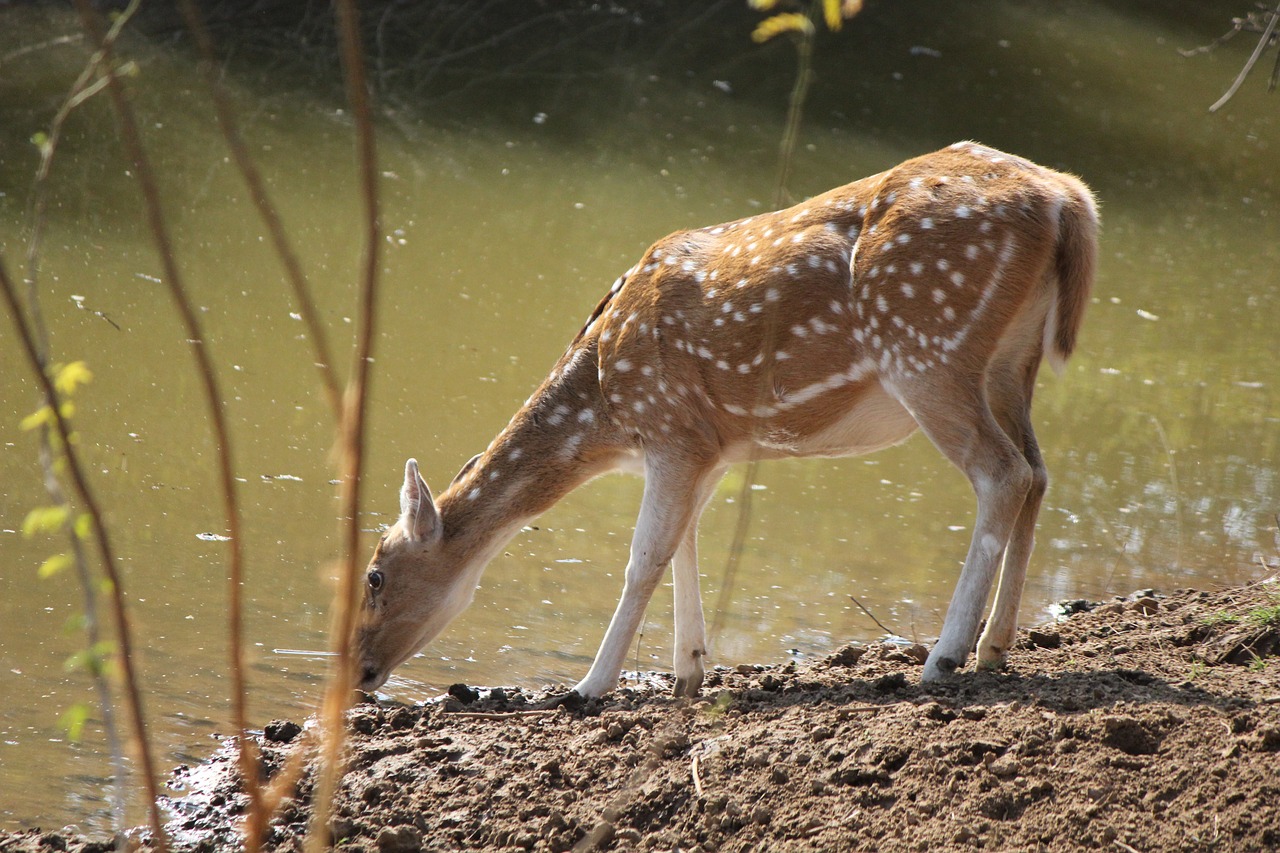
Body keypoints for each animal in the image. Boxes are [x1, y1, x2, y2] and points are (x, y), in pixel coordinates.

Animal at [358, 140, 1100, 696]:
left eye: (374, 575)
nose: (360, 670)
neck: (602, 406)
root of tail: (1068, 197)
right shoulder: (705, 443)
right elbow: (684, 544)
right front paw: (688, 670)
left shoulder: (667, 428)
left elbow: (644, 556)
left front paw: (591, 687)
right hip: (1011, 362)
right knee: (1036, 472)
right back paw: (995, 647)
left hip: (927, 349)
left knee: (1002, 473)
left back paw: (944, 657)